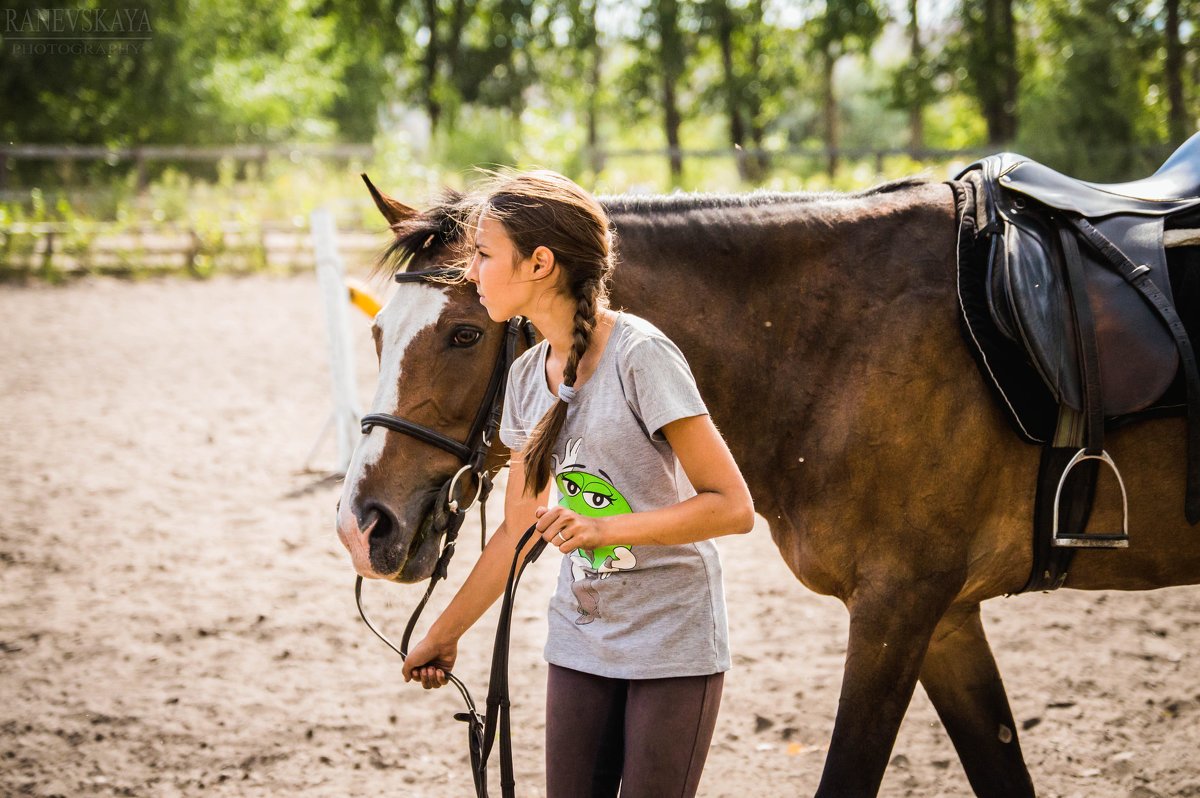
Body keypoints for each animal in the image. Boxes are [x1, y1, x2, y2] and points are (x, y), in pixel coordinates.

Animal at [336, 177, 1200, 792]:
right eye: (376, 331)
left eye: (465, 333)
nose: (362, 525)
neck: (842, 338)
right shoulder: (947, 618)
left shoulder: (897, 608)